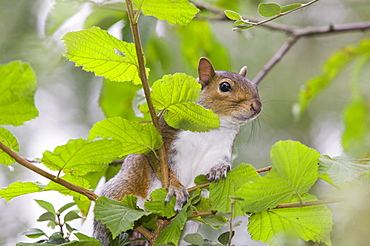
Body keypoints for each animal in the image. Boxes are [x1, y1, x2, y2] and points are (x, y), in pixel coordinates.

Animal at [94, 57, 262, 244]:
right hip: (121, 190)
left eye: (255, 87)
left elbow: (220, 163)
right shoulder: (165, 137)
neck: (214, 128)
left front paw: (220, 169)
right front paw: (175, 188)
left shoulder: (221, 149)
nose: (257, 106)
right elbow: (161, 166)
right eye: (225, 86)